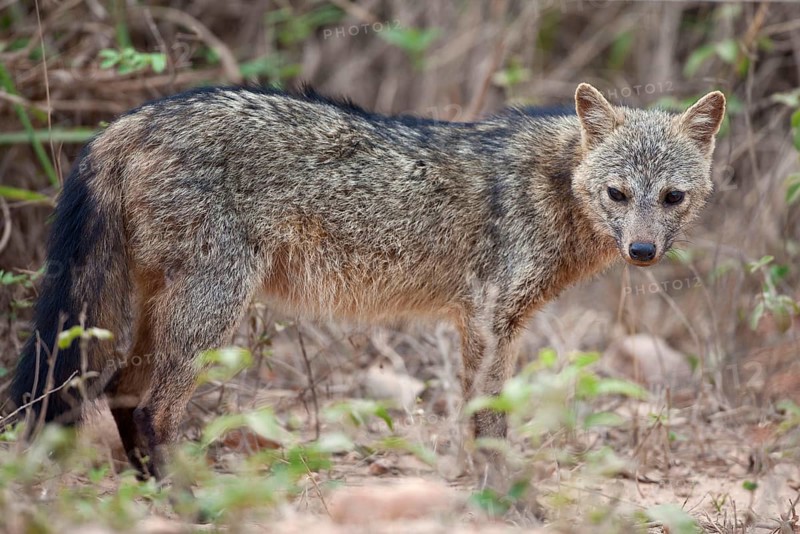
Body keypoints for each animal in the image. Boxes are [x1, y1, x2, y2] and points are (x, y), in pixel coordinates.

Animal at [9, 82, 725, 479]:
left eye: (672, 198)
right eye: (617, 193)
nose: (642, 250)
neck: (553, 182)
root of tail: (133, 118)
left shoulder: (477, 325)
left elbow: (473, 419)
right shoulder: (492, 320)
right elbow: (490, 423)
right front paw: (507, 498)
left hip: (164, 313)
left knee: (119, 394)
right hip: (210, 314)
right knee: (150, 408)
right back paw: (187, 501)